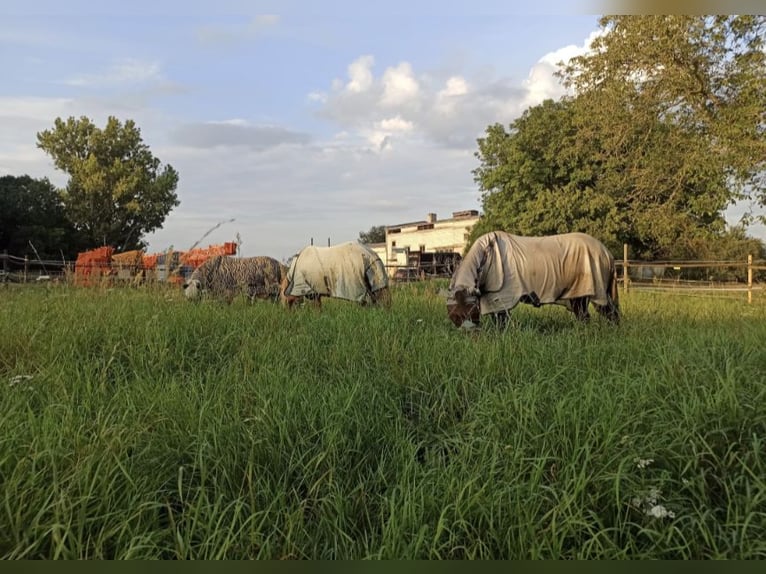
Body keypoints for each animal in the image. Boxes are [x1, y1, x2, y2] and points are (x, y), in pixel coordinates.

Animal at [446, 231, 620, 329]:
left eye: (466, 313)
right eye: (454, 316)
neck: (485, 258)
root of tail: (607, 253)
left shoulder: (502, 299)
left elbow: (501, 324)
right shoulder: (493, 299)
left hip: (592, 290)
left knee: (602, 314)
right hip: (580, 294)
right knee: (598, 314)